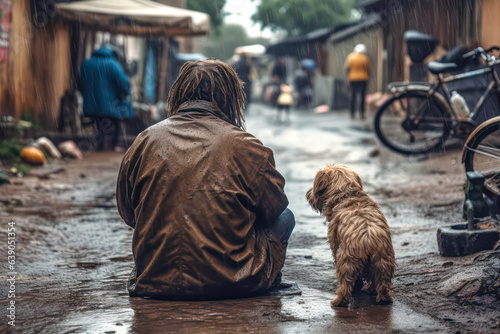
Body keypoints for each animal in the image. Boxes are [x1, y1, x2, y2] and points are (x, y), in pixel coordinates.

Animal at [304, 163, 394, 306]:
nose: (308, 194)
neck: (347, 195)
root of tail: (368, 238)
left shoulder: (335, 244)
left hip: (346, 260)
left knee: (345, 283)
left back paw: (339, 300)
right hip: (383, 260)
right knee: (381, 282)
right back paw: (380, 296)